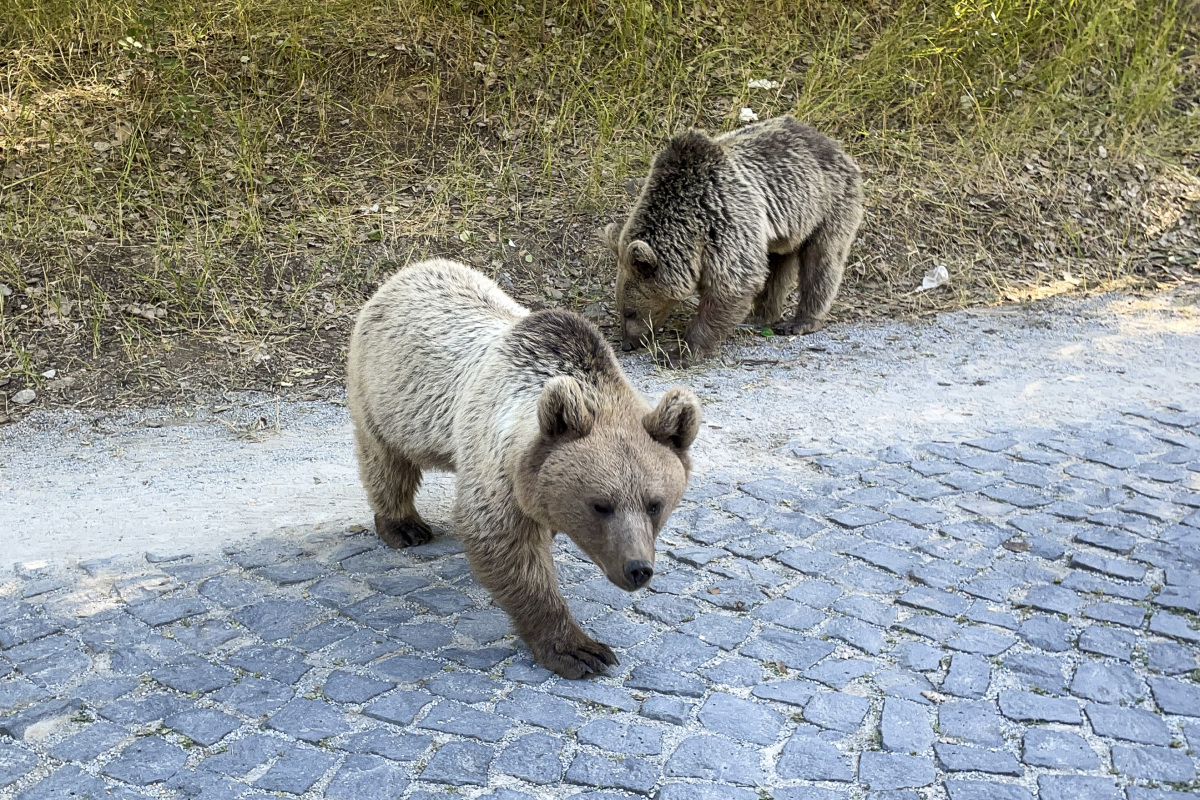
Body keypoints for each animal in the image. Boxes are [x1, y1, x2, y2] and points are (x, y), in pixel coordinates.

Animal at [345, 260, 700, 681]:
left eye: (654, 504)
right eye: (601, 505)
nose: (638, 569)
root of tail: (409, 271)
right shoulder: (498, 461)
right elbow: (508, 548)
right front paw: (580, 650)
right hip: (387, 390)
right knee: (386, 459)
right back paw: (404, 526)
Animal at [609, 113, 864, 362]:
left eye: (630, 311)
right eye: (621, 309)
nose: (627, 344)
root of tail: (834, 145)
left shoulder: (723, 218)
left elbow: (733, 284)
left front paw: (680, 352)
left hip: (827, 203)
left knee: (821, 260)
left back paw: (799, 321)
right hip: (785, 228)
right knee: (777, 267)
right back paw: (759, 317)